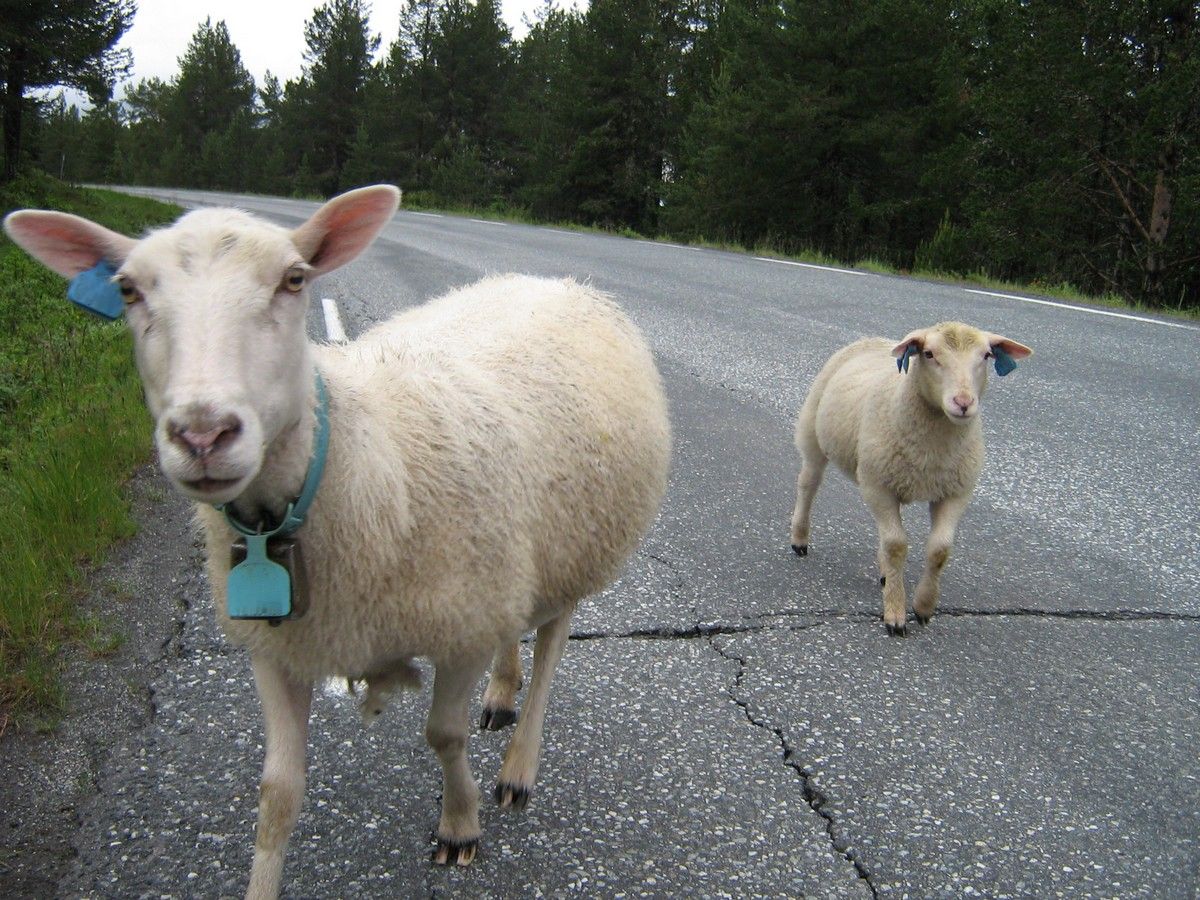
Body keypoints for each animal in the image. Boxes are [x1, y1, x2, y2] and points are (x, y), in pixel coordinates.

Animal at [4, 187, 672, 897]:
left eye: (294, 280)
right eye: (128, 290)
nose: (204, 434)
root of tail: (555, 282)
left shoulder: (458, 625)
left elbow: (443, 735)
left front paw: (458, 826)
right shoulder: (278, 645)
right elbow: (277, 793)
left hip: (581, 539)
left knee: (551, 641)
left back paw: (518, 765)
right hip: (517, 551)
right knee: (517, 625)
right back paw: (500, 692)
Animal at [787, 321, 1032, 638]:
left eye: (987, 355)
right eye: (929, 354)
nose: (963, 402)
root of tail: (872, 339)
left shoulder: (955, 492)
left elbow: (939, 550)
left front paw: (924, 607)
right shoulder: (878, 487)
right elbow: (896, 546)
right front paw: (895, 614)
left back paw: (884, 573)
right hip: (814, 436)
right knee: (808, 485)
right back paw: (799, 539)